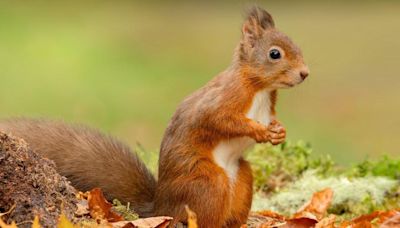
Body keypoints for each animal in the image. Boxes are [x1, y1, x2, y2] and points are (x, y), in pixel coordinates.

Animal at [0, 6, 310, 227]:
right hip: (208, 183)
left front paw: (279, 131)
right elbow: (220, 120)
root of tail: (161, 207)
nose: (305, 73)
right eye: (274, 54)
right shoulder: (222, 100)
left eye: (297, 46)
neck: (260, 89)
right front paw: (258, 131)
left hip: (241, 178)